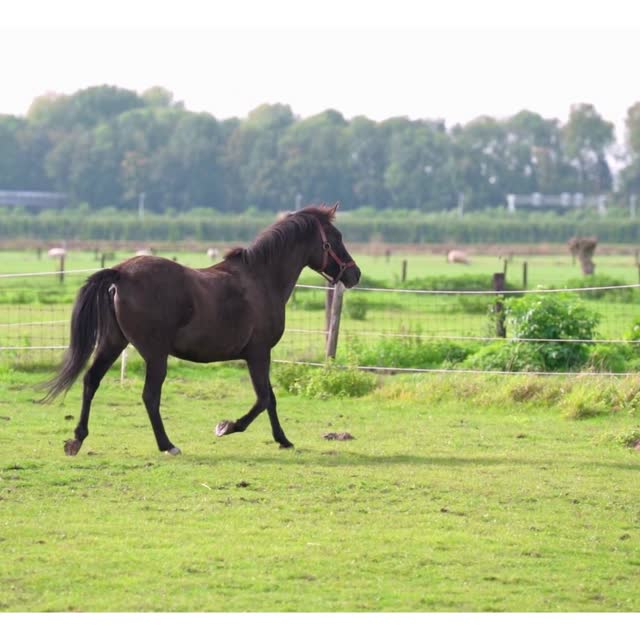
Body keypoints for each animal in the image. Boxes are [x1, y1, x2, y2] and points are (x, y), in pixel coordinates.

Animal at [42, 204, 361, 456]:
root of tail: (119, 274)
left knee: (91, 381)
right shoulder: (258, 353)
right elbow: (263, 399)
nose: (355, 274)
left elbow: (269, 398)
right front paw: (227, 427)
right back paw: (167, 445)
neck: (261, 279)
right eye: (335, 238)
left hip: (113, 342)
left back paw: (77, 439)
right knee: (149, 396)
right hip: (154, 354)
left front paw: (282, 439)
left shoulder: (259, 355)